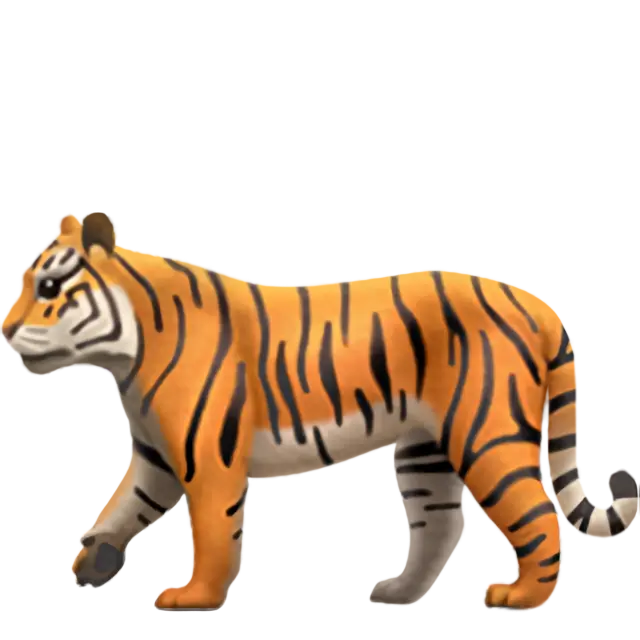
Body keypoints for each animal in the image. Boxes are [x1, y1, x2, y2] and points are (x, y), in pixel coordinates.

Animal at [3, 207, 638, 612]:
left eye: (51, 286)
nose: (6, 331)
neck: (127, 352)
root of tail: (528, 300)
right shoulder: (158, 455)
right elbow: (127, 506)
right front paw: (94, 559)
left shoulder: (206, 457)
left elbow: (210, 531)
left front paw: (194, 598)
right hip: (424, 449)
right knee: (432, 524)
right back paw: (396, 594)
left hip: (487, 438)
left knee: (539, 516)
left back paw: (520, 598)